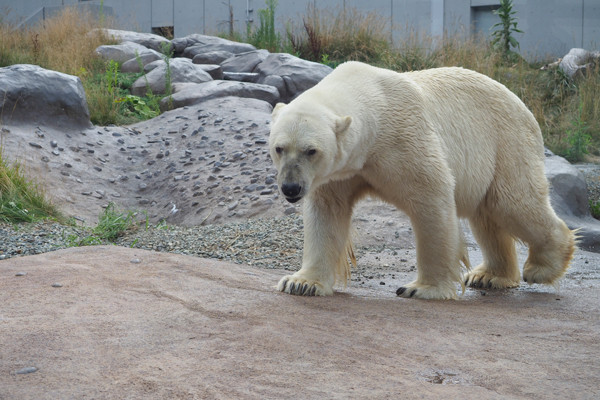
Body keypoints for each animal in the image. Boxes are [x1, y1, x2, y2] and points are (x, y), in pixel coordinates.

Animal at [268, 61, 576, 300]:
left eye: (311, 151)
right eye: (279, 148)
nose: (291, 188)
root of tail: (523, 104)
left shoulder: (403, 139)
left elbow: (432, 196)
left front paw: (422, 288)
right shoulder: (340, 171)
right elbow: (327, 213)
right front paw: (301, 283)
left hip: (506, 142)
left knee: (512, 202)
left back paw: (542, 266)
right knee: (487, 214)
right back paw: (488, 276)